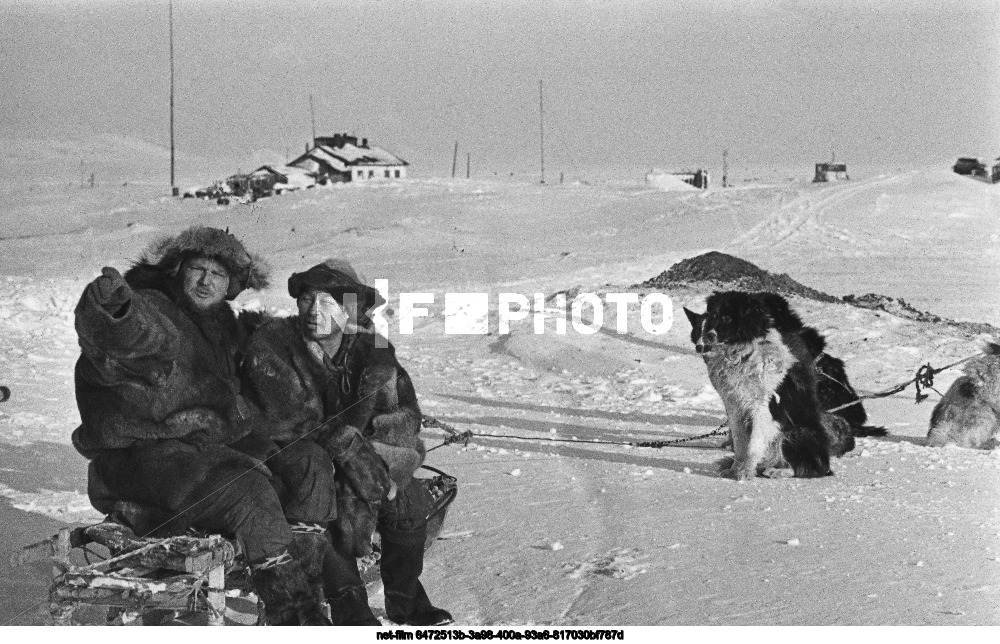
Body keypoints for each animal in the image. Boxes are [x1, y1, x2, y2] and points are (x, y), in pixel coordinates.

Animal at [688, 292, 852, 478]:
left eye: (727, 318)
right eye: (713, 316)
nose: (708, 337)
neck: (744, 354)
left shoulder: (763, 408)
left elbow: (753, 446)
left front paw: (745, 473)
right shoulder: (735, 408)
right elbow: (739, 445)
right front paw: (735, 470)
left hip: (797, 431)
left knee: (809, 468)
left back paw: (779, 471)